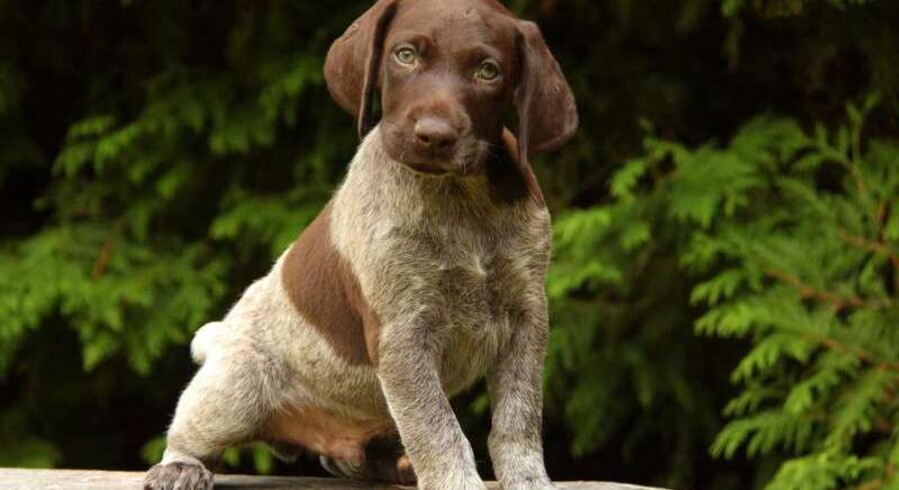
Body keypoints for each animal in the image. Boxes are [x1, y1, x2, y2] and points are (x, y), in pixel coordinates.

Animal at [141, 0, 576, 490]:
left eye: (489, 71)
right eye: (405, 55)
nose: (434, 135)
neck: (458, 199)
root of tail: (219, 336)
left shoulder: (526, 318)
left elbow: (517, 421)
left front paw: (529, 480)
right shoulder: (402, 332)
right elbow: (439, 430)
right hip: (238, 385)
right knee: (189, 429)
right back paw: (180, 466)